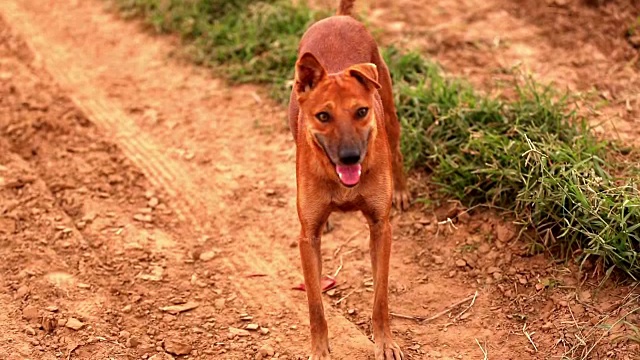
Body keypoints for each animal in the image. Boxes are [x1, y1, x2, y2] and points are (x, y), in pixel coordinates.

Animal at [288, 0, 408, 360]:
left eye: (361, 112)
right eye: (323, 116)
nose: (351, 157)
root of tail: (341, 18)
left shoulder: (381, 229)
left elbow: (380, 297)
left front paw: (385, 343)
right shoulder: (307, 240)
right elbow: (315, 304)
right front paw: (319, 350)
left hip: (391, 113)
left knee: (397, 151)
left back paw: (400, 190)